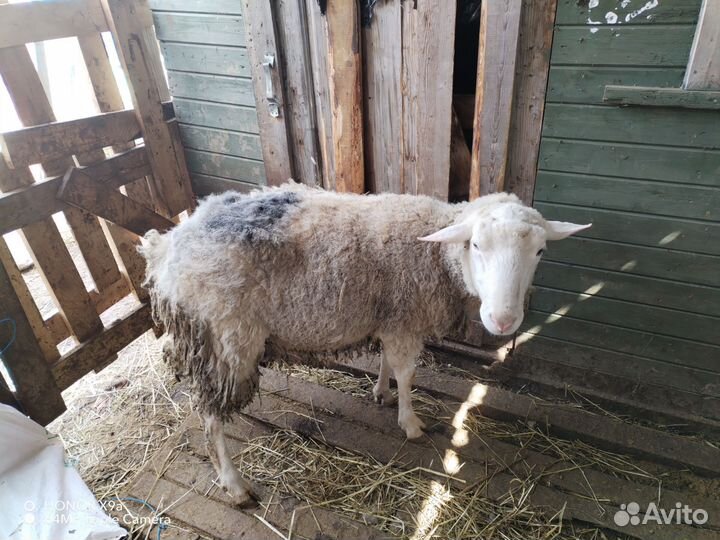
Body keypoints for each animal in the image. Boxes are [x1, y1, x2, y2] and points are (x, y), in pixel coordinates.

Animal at [140, 181, 590, 505]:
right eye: (476, 245)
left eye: (540, 250)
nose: (503, 320)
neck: (437, 254)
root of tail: (167, 246)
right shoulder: (405, 317)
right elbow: (407, 373)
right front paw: (410, 423)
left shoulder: (390, 315)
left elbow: (389, 362)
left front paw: (381, 392)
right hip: (226, 334)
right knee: (210, 416)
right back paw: (234, 485)